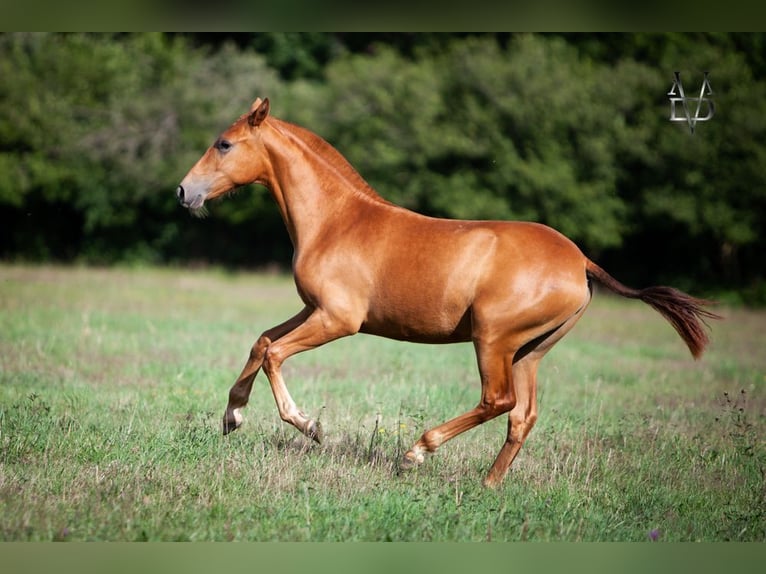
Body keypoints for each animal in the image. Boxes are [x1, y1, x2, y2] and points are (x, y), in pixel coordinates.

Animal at [176, 98, 719, 487]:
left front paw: (309, 426)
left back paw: (417, 452)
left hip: (493, 338)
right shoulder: (313, 309)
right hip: (531, 349)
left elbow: (274, 354)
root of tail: (579, 261)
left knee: (498, 401)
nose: (184, 192)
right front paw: (232, 415)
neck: (336, 222)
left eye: (224, 144)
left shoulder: (339, 319)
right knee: (523, 416)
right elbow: (262, 341)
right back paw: (488, 486)